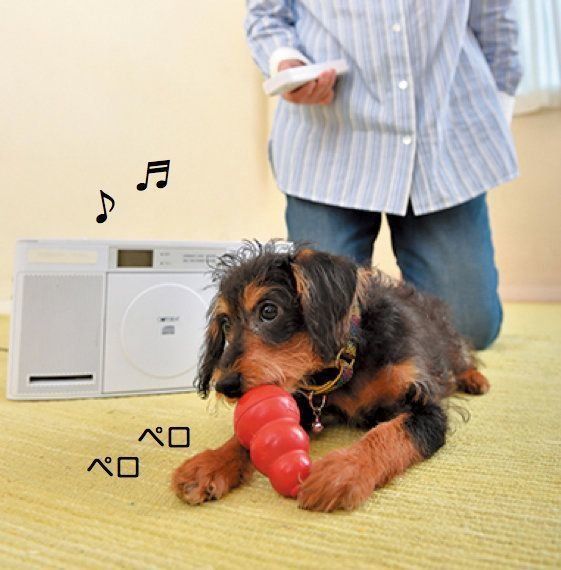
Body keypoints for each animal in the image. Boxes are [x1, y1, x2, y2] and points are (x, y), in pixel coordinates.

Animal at [171, 240, 489, 512]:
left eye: (269, 311)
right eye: (225, 324)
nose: (224, 385)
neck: (351, 362)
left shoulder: (427, 408)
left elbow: (389, 432)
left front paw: (345, 469)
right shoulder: (303, 403)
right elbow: (247, 437)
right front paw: (210, 463)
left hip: (448, 343)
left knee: (462, 357)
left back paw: (475, 379)